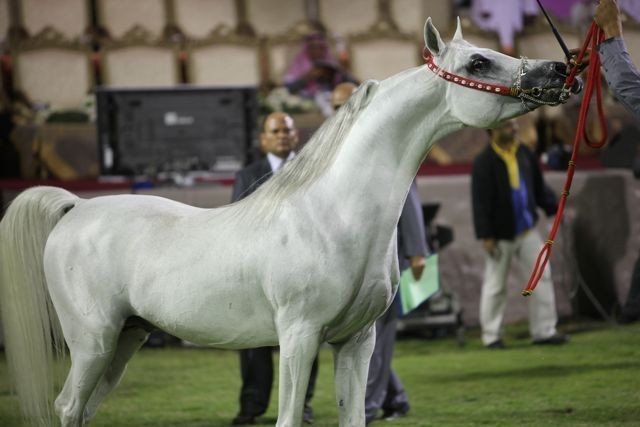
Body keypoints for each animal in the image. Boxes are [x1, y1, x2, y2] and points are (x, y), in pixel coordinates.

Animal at [0, 18, 578, 427]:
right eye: (479, 61)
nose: (558, 71)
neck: (334, 216)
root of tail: (76, 207)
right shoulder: (298, 338)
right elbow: (286, 418)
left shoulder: (357, 341)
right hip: (92, 340)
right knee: (68, 407)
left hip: (125, 339)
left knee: (83, 409)